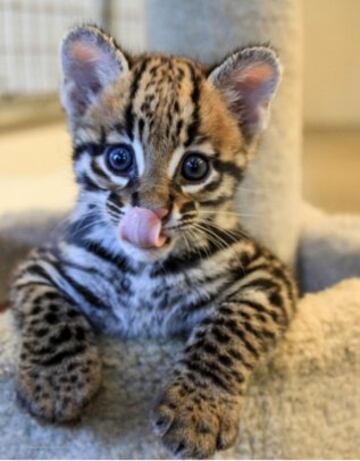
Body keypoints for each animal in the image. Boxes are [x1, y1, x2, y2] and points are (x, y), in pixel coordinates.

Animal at [11, 26, 298, 460]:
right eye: (119, 159)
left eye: (194, 167)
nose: (151, 214)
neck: (142, 273)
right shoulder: (41, 267)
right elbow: (51, 313)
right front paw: (57, 383)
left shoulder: (269, 278)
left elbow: (230, 325)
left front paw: (198, 409)